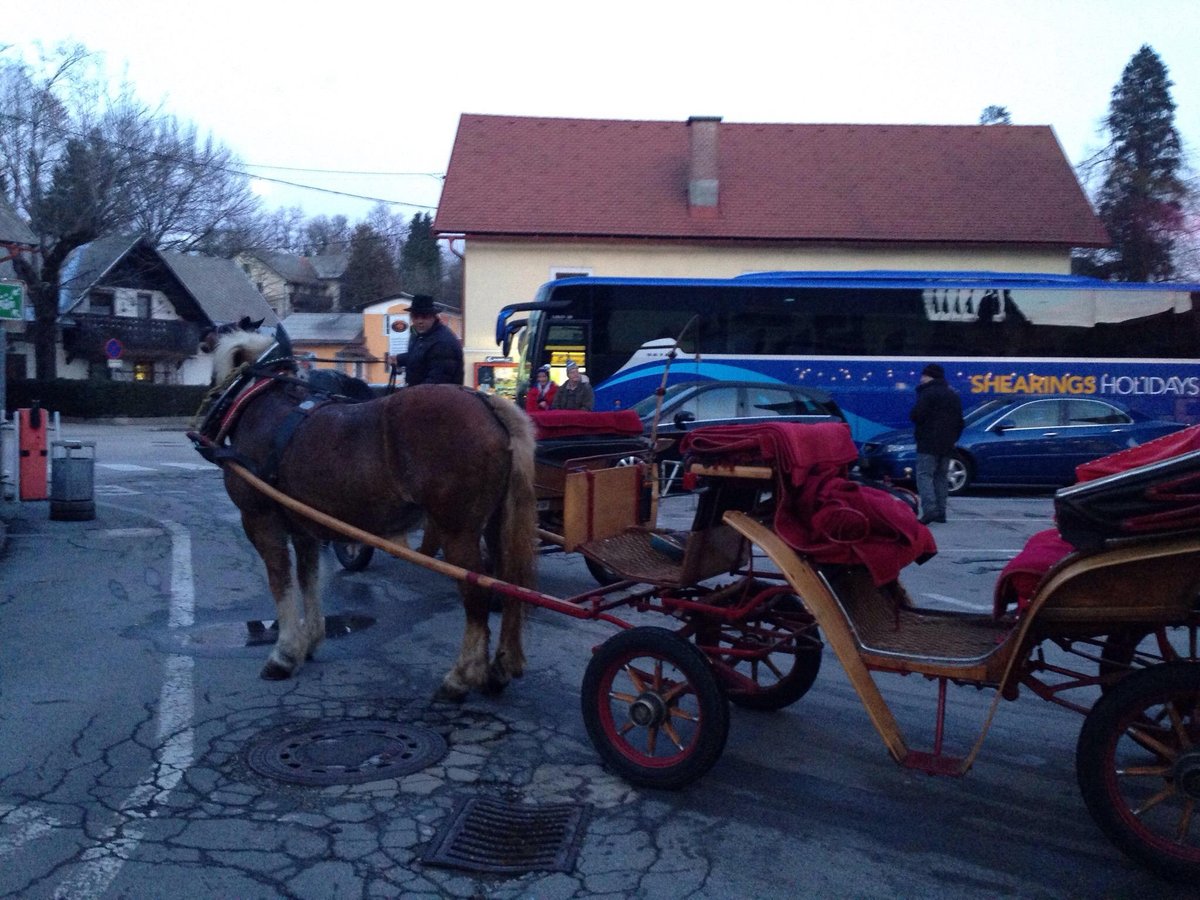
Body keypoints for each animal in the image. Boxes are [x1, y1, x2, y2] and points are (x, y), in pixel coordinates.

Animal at [195, 326, 540, 705]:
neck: (259, 403)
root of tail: (487, 403)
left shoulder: (260, 520)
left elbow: (280, 582)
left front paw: (283, 655)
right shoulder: (305, 528)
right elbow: (308, 580)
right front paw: (309, 641)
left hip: (458, 531)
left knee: (476, 594)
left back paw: (462, 677)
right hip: (495, 524)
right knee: (508, 585)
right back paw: (500, 670)